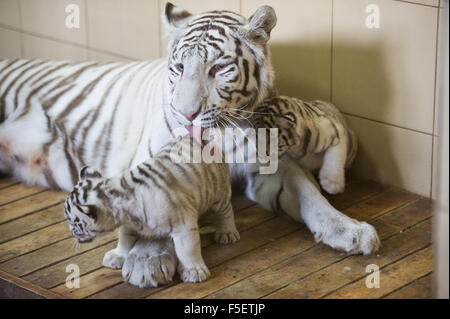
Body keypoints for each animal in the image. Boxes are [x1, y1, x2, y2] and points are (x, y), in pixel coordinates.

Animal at [0, 3, 380, 290]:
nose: (187, 114)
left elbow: (308, 192)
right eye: (179, 67)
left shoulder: (267, 164)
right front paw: (147, 261)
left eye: (219, 68)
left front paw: (351, 230)